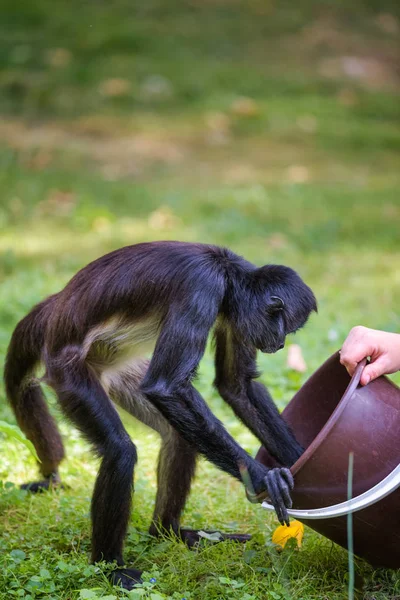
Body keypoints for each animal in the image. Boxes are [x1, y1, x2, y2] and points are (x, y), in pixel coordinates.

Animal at [3, 240, 316, 592]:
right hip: (68, 373)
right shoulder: (201, 286)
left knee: (179, 437)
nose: (281, 344)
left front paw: (302, 460)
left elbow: (235, 384)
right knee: (120, 450)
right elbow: (166, 387)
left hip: (117, 371)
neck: (226, 271)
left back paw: (170, 532)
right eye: (285, 327)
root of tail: (55, 311)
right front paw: (265, 479)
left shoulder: (231, 316)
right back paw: (111, 569)